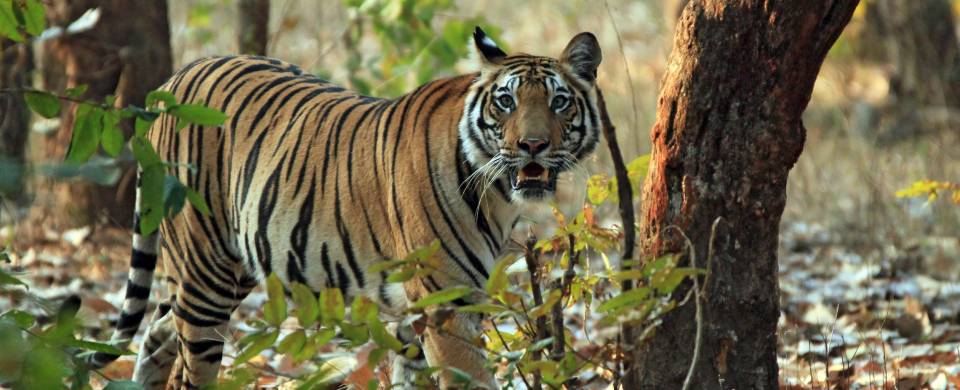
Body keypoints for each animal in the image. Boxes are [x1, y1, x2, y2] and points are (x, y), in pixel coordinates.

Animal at [86, 26, 604, 386]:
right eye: (505, 102)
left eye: (559, 102)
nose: (532, 145)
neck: (497, 196)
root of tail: (173, 79)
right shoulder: (445, 304)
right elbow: (471, 380)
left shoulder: (415, 315)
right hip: (205, 270)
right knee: (189, 361)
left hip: (231, 267)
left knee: (157, 332)